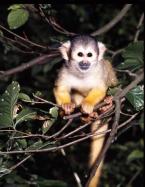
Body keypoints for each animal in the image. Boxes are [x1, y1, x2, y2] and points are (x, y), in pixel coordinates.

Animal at [53, 35, 117, 187]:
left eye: (89, 55)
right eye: (80, 54)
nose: (85, 62)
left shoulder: (99, 70)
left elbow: (100, 88)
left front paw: (88, 104)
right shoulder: (64, 71)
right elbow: (60, 89)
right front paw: (66, 107)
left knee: (109, 71)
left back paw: (106, 104)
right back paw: (87, 116)